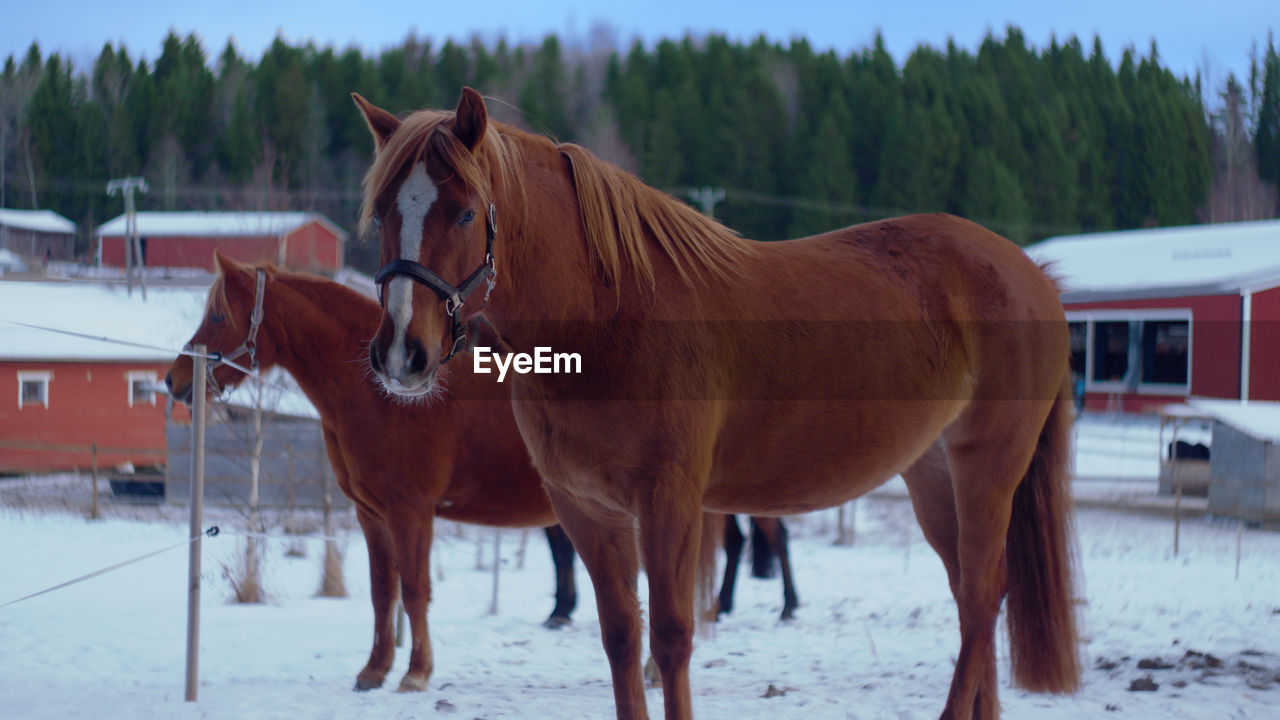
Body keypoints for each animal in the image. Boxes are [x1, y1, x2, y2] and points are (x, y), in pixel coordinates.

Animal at [350, 89, 1080, 717]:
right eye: (383, 212)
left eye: (465, 211)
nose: (402, 355)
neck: (612, 317)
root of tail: (1032, 275)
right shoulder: (585, 509)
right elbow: (622, 636)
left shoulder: (669, 499)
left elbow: (673, 637)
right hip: (932, 474)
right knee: (971, 594)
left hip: (987, 468)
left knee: (984, 594)